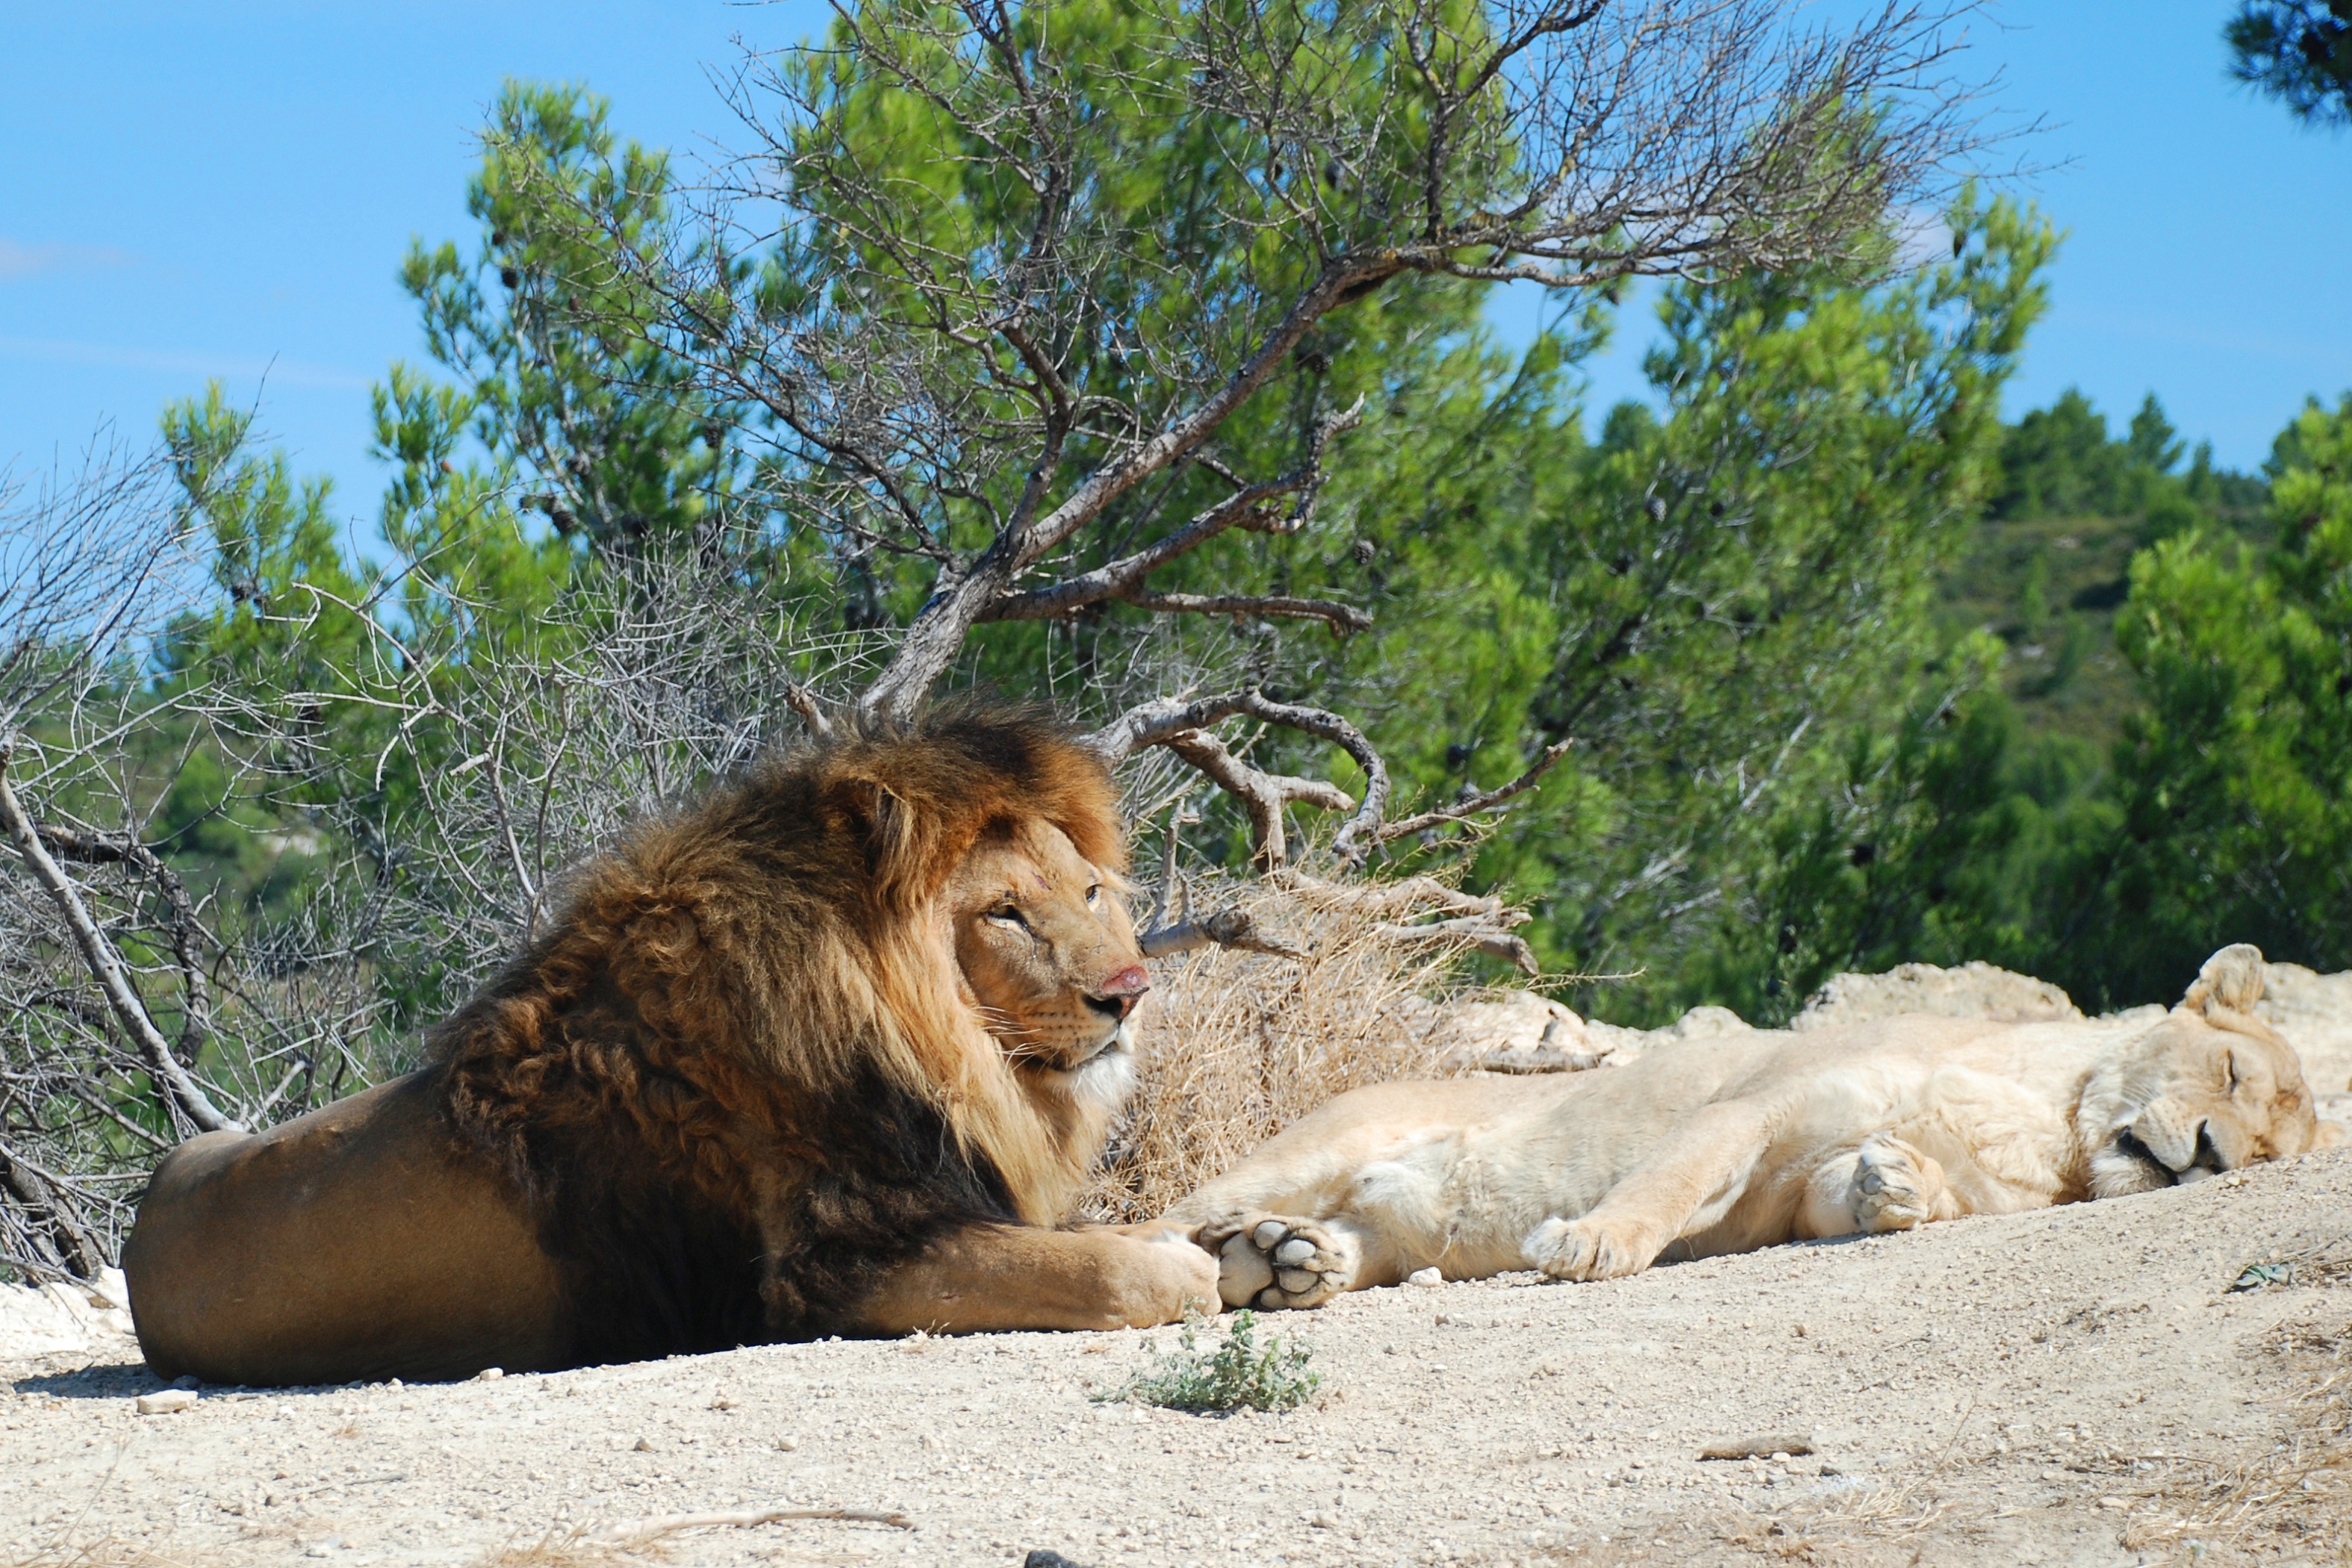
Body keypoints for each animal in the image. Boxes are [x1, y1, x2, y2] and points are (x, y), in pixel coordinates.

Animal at [124, 709, 1213, 1382]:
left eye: (1090, 894)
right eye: (1004, 914)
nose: (1130, 993)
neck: (950, 1054)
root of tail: (135, 1238)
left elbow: (1093, 1238)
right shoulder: (825, 1270)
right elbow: (1093, 1270)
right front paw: (1185, 1267)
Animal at [1176, 945, 2333, 1316]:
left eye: (2265, 1155)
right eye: (2230, 1072)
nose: (2216, 1156)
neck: (2052, 1131)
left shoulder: (1796, 1192)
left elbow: (1874, 1195)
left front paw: (1896, 1185)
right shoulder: (1757, 1106)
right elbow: (1672, 1180)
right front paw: (1587, 1244)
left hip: (1390, 1227)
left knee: (1349, 1243)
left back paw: (1287, 1264)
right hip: (1310, 1147)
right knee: (1169, 1221)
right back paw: (1206, 1265)